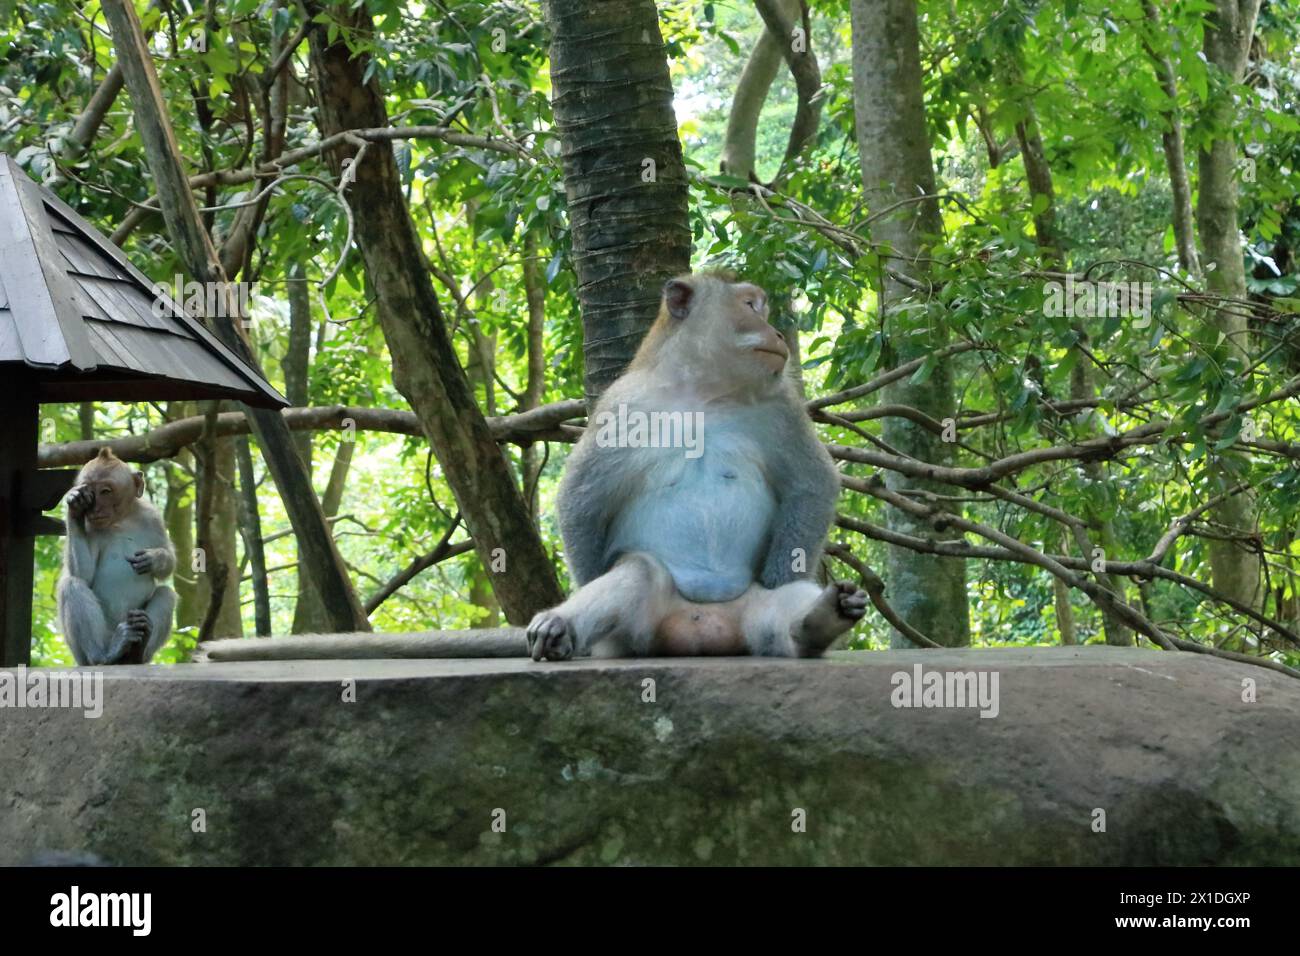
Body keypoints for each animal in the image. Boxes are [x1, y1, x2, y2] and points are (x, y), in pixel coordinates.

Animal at [58, 447, 176, 665]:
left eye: (105, 491)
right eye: (90, 492)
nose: (95, 508)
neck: (120, 520)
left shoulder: (152, 516)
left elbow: (169, 562)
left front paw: (154, 558)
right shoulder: (89, 524)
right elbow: (83, 573)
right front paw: (74, 506)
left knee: (166, 593)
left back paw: (137, 652)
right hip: (82, 653)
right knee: (72, 584)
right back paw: (106, 654)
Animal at [522, 269, 868, 658]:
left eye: (761, 308)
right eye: (750, 305)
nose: (778, 333)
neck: (703, 393)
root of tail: (703, 630)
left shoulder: (782, 406)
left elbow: (811, 484)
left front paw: (781, 574)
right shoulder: (621, 404)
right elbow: (581, 499)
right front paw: (585, 580)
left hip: (751, 615)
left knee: (779, 607)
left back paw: (822, 618)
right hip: (640, 631)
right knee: (640, 571)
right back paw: (559, 627)